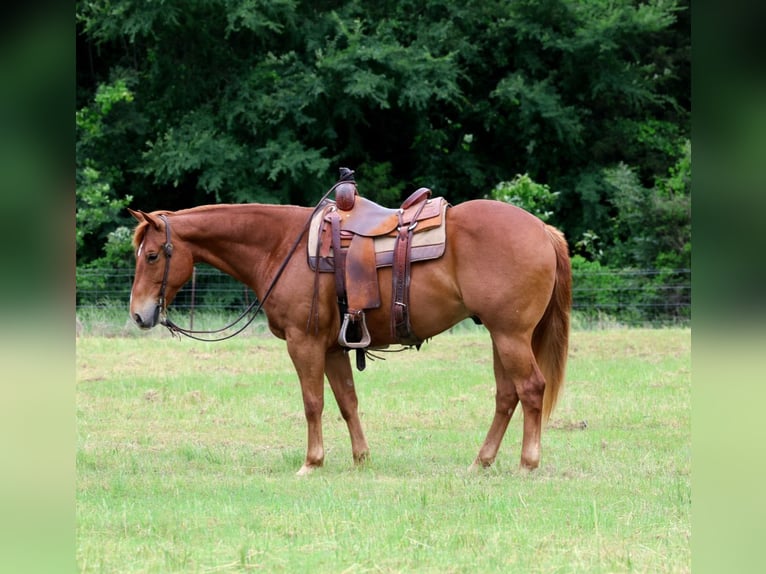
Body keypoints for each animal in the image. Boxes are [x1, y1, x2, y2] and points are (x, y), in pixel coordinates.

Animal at [128, 195, 571, 476]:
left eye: (151, 255)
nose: (138, 314)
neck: (281, 246)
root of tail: (542, 230)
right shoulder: (332, 348)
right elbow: (346, 402)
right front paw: (361, 458)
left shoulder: (303, 343)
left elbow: (313, 403)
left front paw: (312, 462)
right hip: (501, 337)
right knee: (506, 396)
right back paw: (481, 462)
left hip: (511, 336)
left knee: (531, 389)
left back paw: (527, 463)